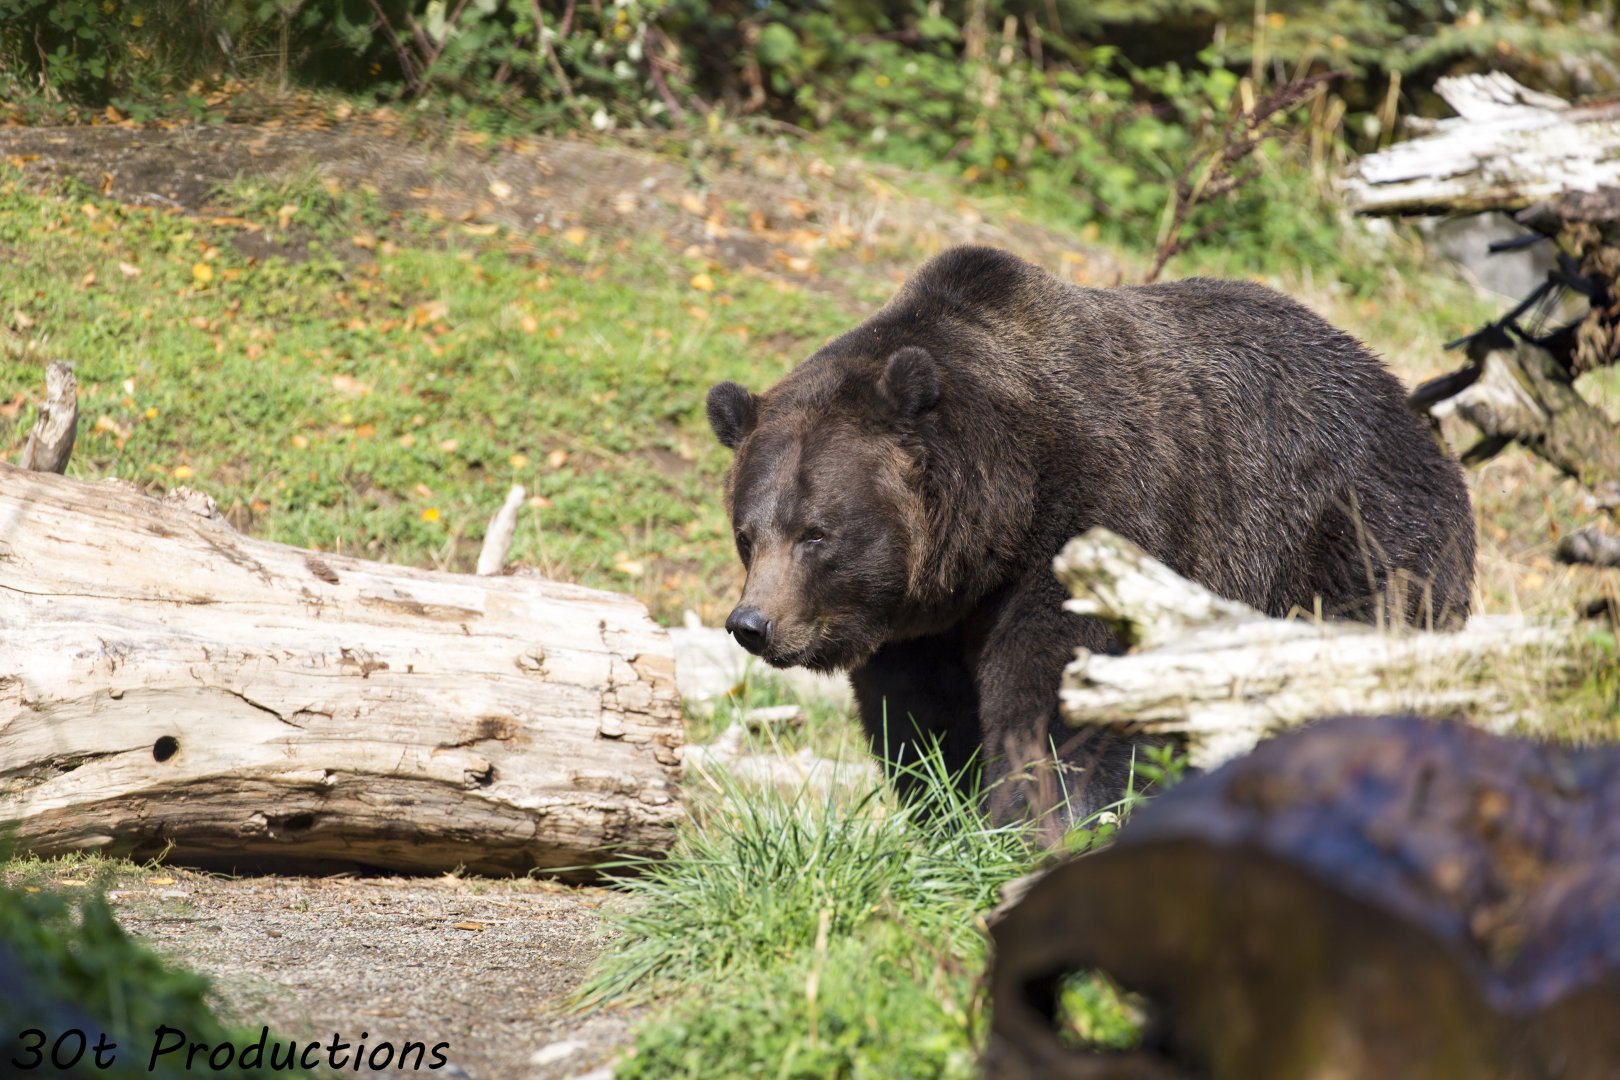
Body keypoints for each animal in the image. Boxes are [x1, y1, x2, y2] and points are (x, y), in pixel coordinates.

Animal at [704, 245, 1476, 831]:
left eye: (815, 533)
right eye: (749, 533)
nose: (753, 624)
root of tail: (1410, 408)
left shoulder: (1096, 521)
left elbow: (1059, 687)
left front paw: (1039, 818)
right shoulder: (918, 619)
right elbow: (922, 717)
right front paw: (948, 810)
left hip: (1355, 536)